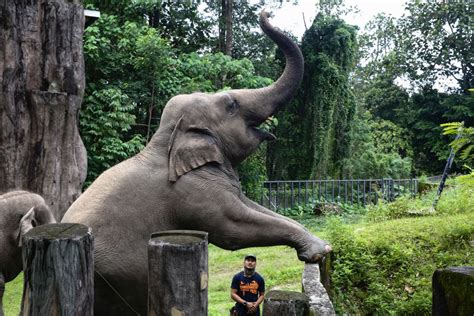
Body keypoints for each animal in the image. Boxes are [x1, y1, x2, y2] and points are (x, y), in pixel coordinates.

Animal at [62, 10, 330, 316]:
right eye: (231, 105)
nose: (266, 13)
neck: (165, 141)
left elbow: (251, 206)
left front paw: (321, 245)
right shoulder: (190, 190)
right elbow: (233, 225)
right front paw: (319, 250)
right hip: (114, 276)